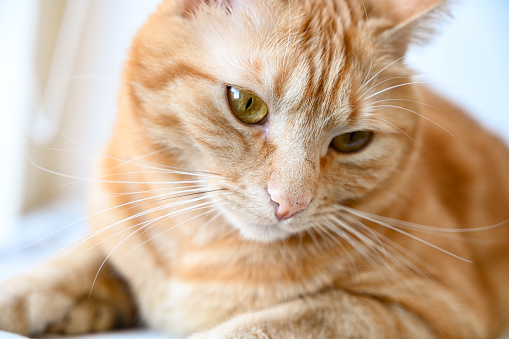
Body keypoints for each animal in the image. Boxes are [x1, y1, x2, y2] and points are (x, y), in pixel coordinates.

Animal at [0, 0, 508, 338]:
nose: (289, 203)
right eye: (246, 104)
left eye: (352, 141)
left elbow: (282, 321)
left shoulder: (428, 310)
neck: (200, 250)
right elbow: (80, 257)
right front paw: (27, 294)